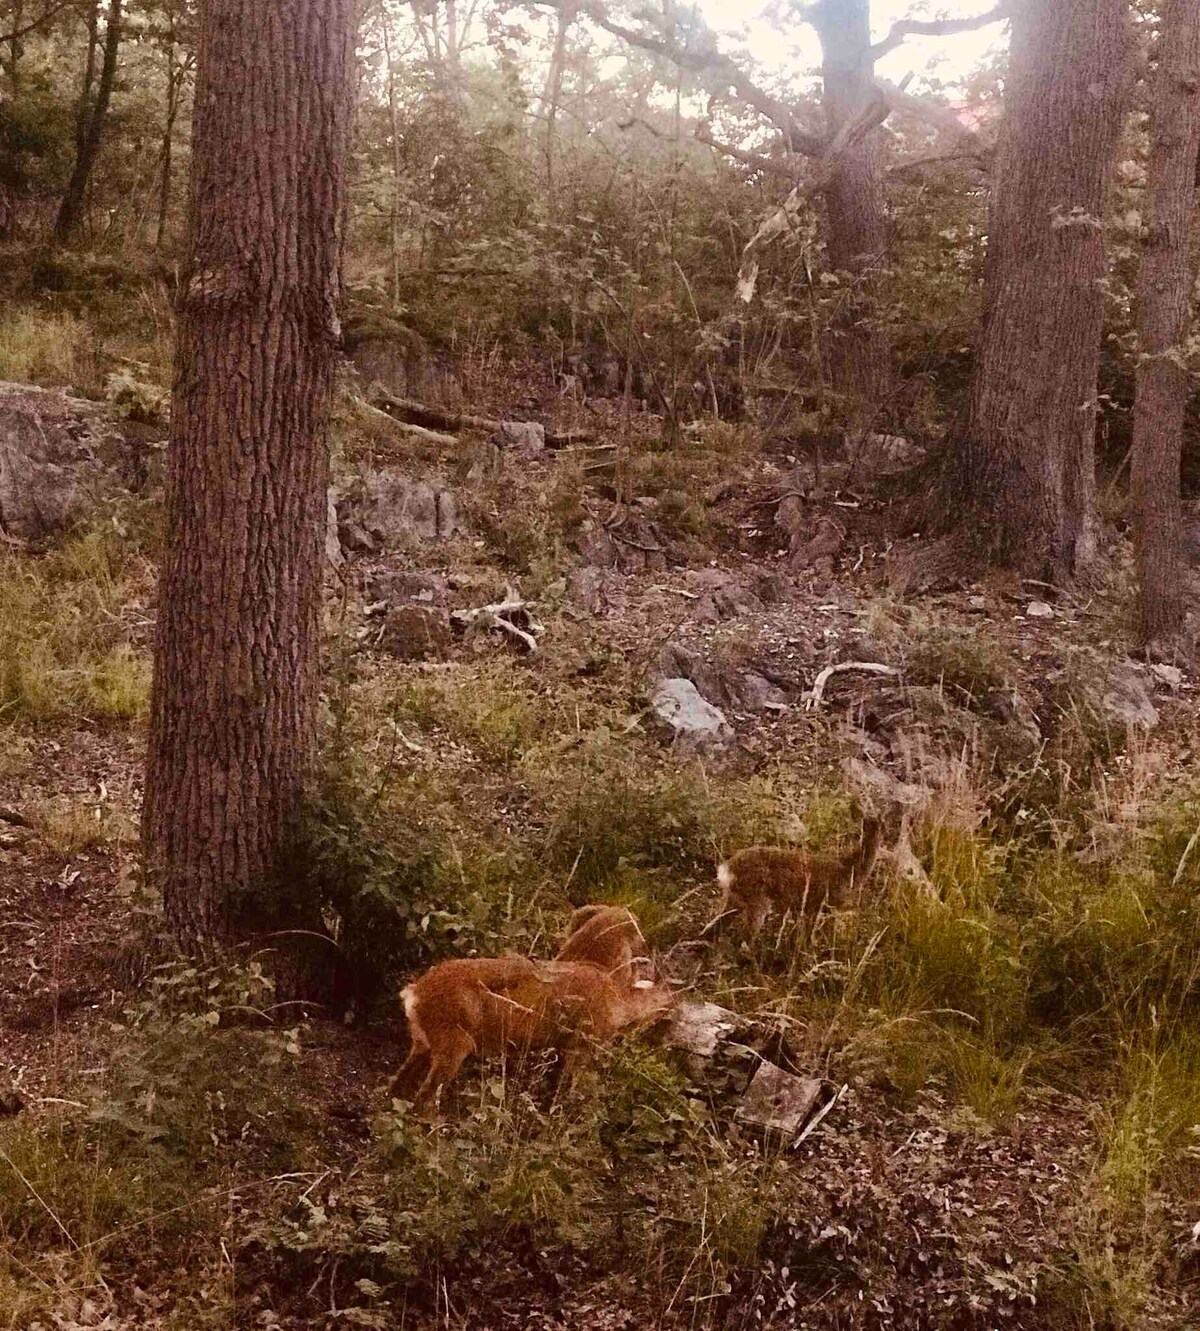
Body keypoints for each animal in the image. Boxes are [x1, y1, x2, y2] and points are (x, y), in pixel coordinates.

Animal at [385, 899, 670, 1107]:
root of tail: (414, 994)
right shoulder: (586, 1044)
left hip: (423, 1042)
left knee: (397, 1085)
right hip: (453, 1043)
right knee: (423, 1097)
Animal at [702, 803, 883, 942]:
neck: (849, 869)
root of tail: (726, 870)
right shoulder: (819, 904)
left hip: (735, 898)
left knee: (713, 926)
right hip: (756, 900)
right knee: (745, 939)